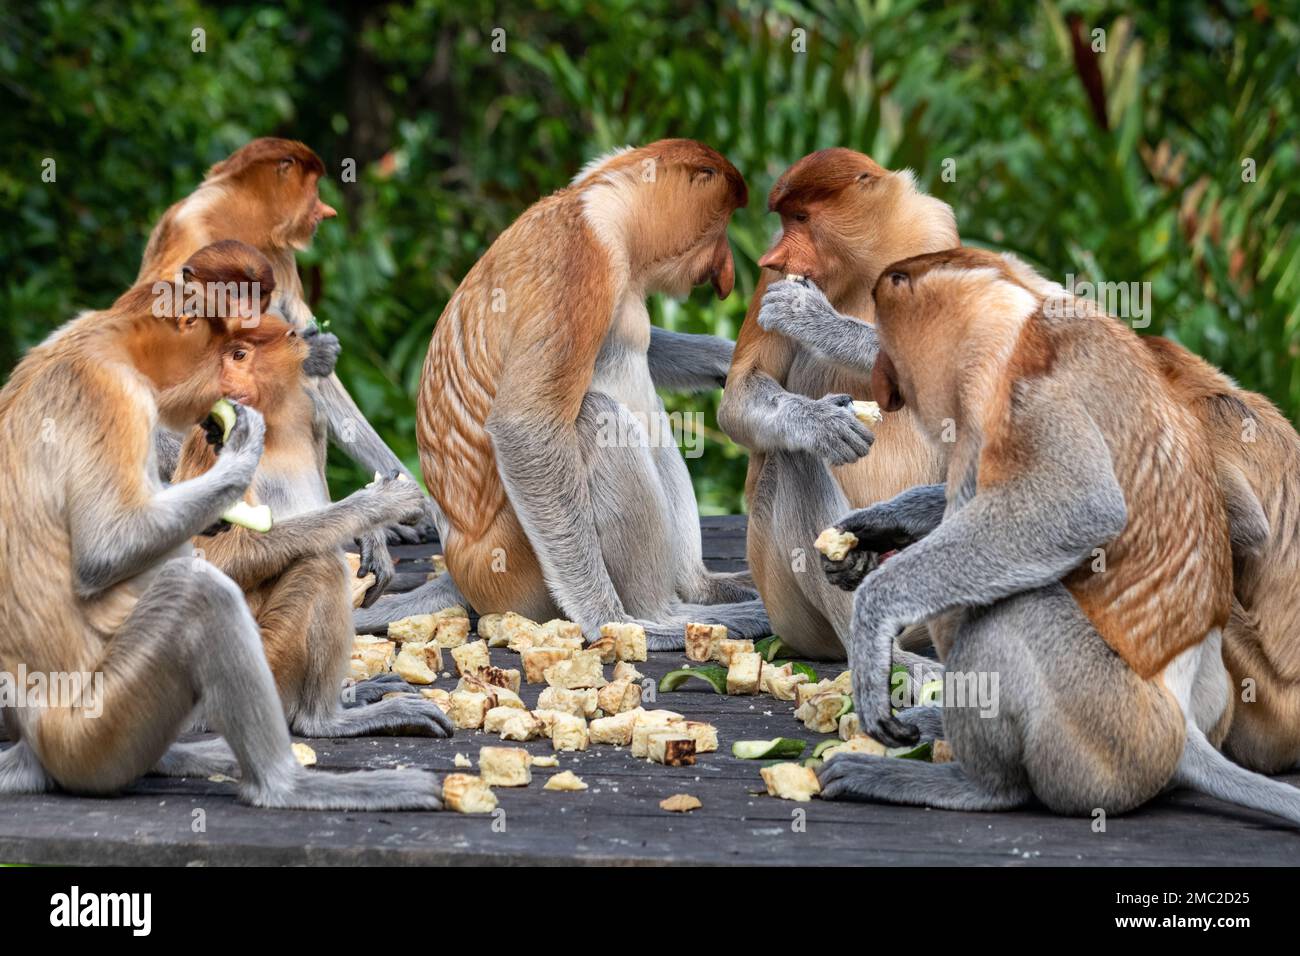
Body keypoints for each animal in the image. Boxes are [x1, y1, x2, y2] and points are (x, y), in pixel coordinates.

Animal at [174, 317, 452, 738]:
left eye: (239, 355)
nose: (222, 383)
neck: (275, 417)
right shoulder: (216, 440)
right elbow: (224, 555)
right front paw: (382, 504)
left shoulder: (312, 414)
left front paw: (374, 540)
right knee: (320, 563)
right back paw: (324, 720)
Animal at [361, 140, 764, 650]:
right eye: (723, 225)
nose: (727, 275)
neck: (599, 202)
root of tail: (461, 570)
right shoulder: (581, 259)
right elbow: (525, 426)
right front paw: (611, 621)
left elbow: (650, 351)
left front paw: (727, 359)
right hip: (515, 566)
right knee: (595, 418)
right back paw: (664, 616)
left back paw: (704, 587)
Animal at [717, 149, 961, 660]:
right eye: (785, 220)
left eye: (803, 218)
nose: (774, 257)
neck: (867, 263)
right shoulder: (775, 277)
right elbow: (741, 394)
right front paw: (823, 423)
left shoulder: (935, 232)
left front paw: (811, 317)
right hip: (790, 613)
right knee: (792, 459)